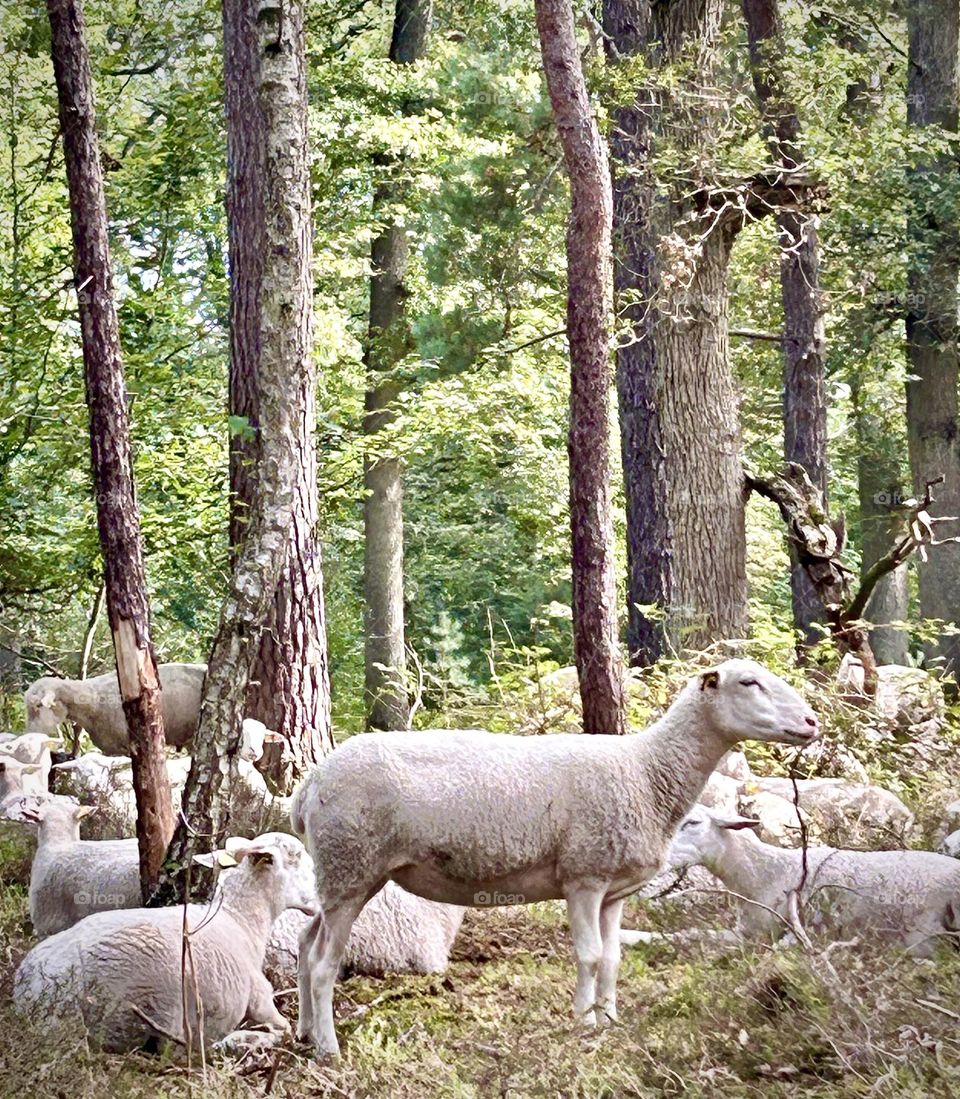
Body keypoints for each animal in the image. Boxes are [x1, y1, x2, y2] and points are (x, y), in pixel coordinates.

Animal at [14, 830, 314, 1055]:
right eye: (297, 857)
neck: (239, 920)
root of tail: (36, 996)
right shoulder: (261, 999)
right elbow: (285, 1029)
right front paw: (248, 1039)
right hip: (161, 1003)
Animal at [289, 659, 817, 1055]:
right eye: (748, 682)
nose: (812, 722)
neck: (648, 772)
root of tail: (310, 783)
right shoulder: (584, 876)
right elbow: (589, 956)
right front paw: (584, 1025)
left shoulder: (614, 890)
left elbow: (613, 959)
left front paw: (610, 1019)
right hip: (350, 863)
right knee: (324, 962)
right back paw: (329, 1048)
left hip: (343, 874)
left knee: (304, 941)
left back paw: (304, 1031)